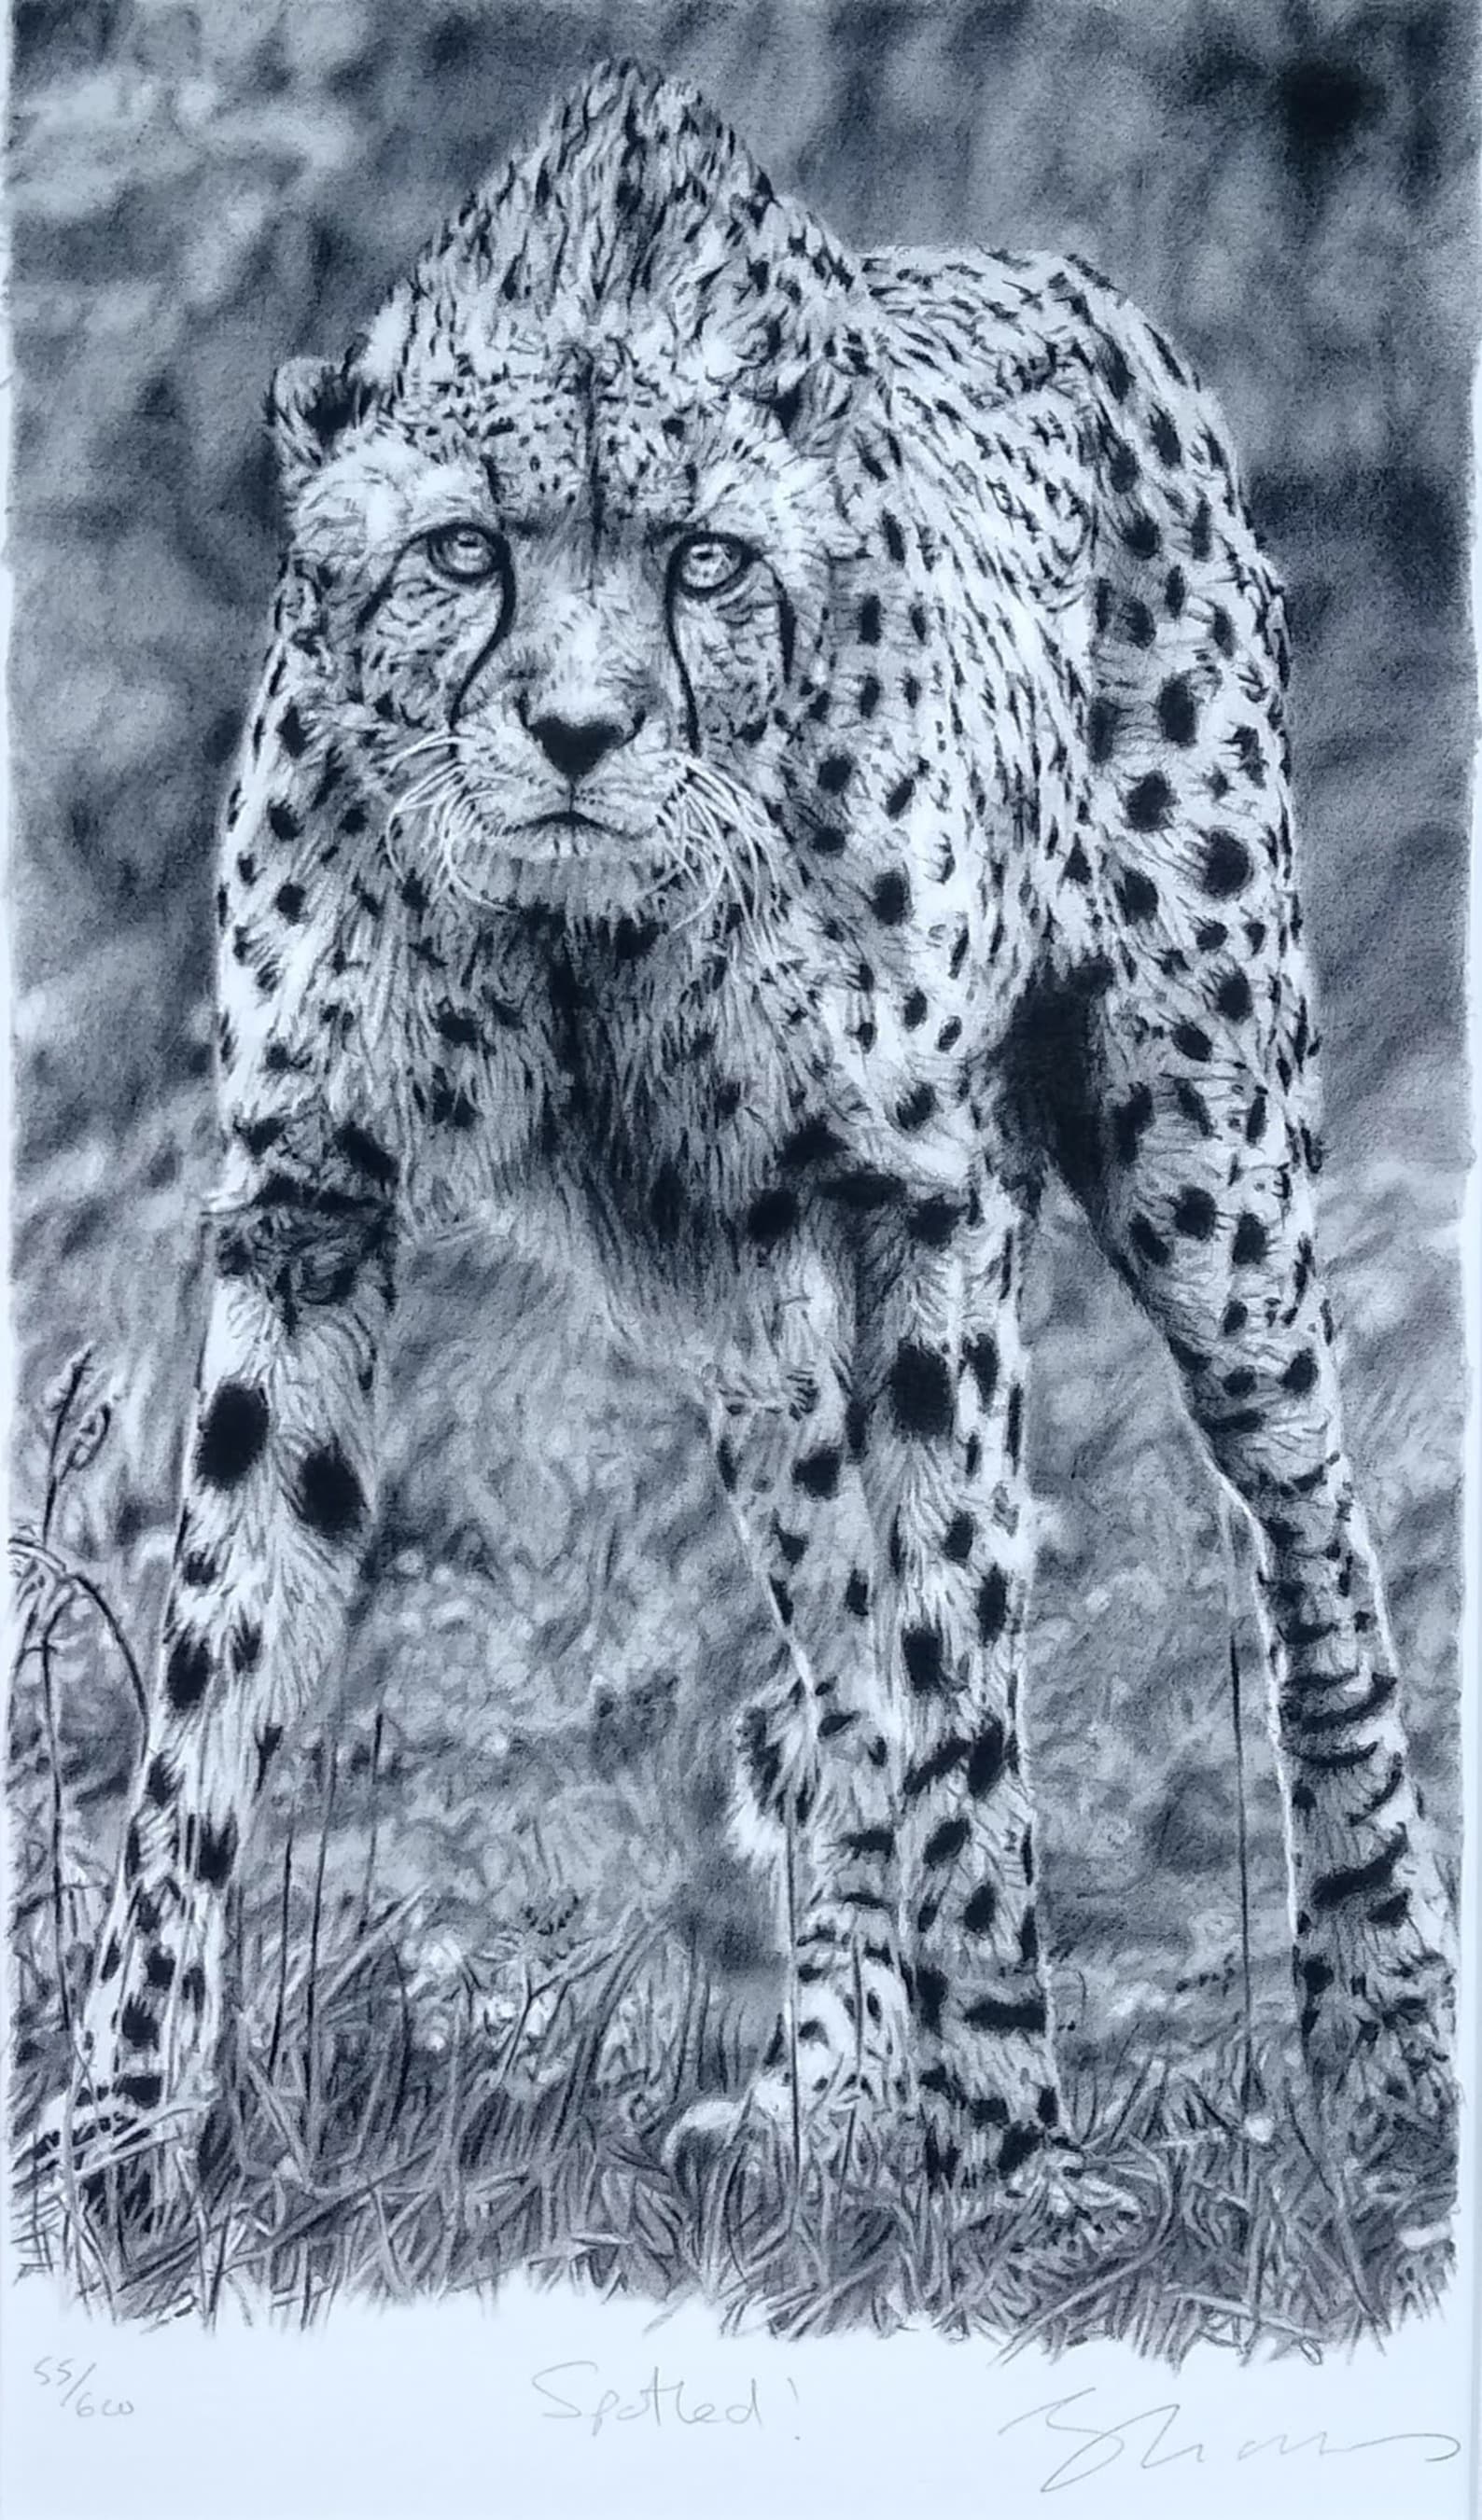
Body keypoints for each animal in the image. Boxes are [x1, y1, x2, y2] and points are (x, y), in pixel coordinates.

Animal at [51, 59, 1456, 2217]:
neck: (571, 926)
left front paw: (1014, 2160)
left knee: (1307, 1551)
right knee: (831, 1661)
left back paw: (1379, 2051)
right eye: (464, 552)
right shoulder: (312, 1202)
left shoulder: (914, 1203)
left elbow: (962, 1679)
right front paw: (113, 2123)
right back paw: (839, 2093)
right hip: (749, 1330)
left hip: (1204, 1162)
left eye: (704, 562)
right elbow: (212, 1657)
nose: (577, 733)